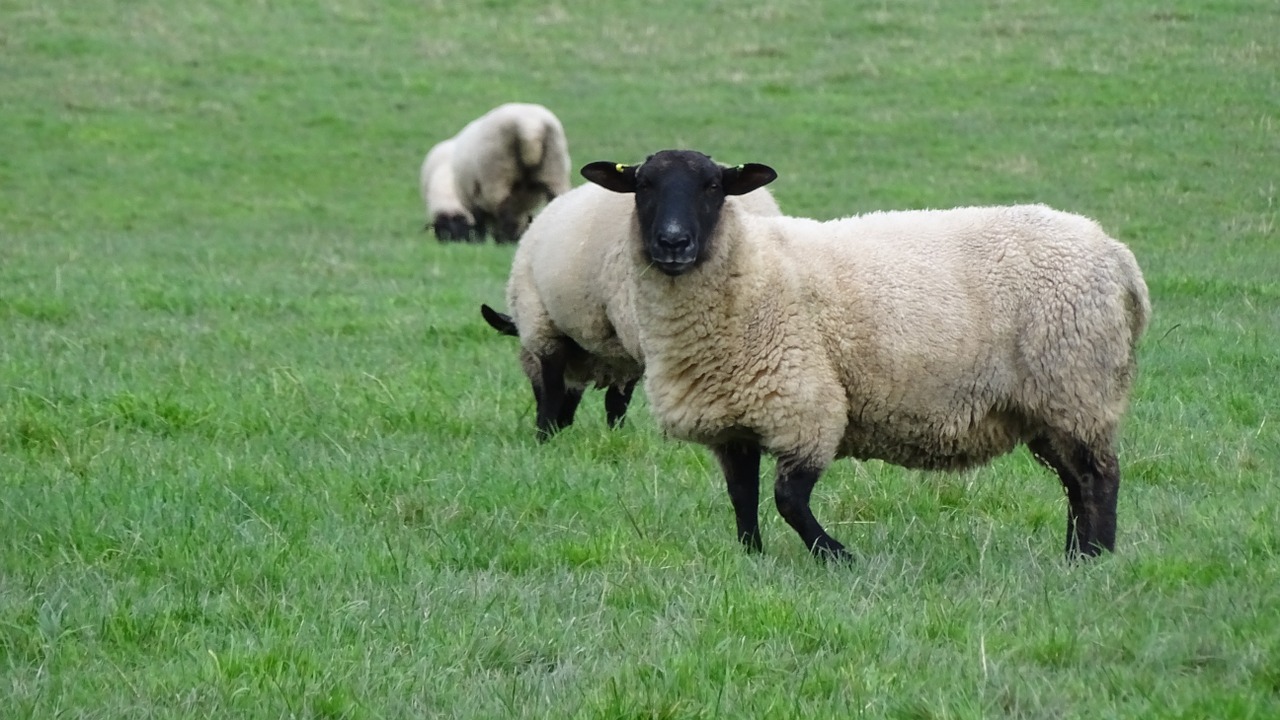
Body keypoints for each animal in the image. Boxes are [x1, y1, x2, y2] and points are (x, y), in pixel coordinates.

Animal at [481, 178, 778, 438]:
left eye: (529, 375)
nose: (563, 425)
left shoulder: (544, 328)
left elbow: (555, 388)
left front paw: (543, 435)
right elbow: (616, 401)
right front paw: (614, 435)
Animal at [581, 149, 1152, 561]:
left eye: (714, 187)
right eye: (643, 186)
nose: (673, 243)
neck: (749, 269)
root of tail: (1118, 257)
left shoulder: (806, 403)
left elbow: (789, 500)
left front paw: (836, 556)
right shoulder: (735, 422)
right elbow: (742, 496)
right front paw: (752, 558)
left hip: (1077, 385)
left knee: (1099, 478)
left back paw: (1094, 559)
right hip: (1049, 403)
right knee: (1076, 484)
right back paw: (1075, 556)